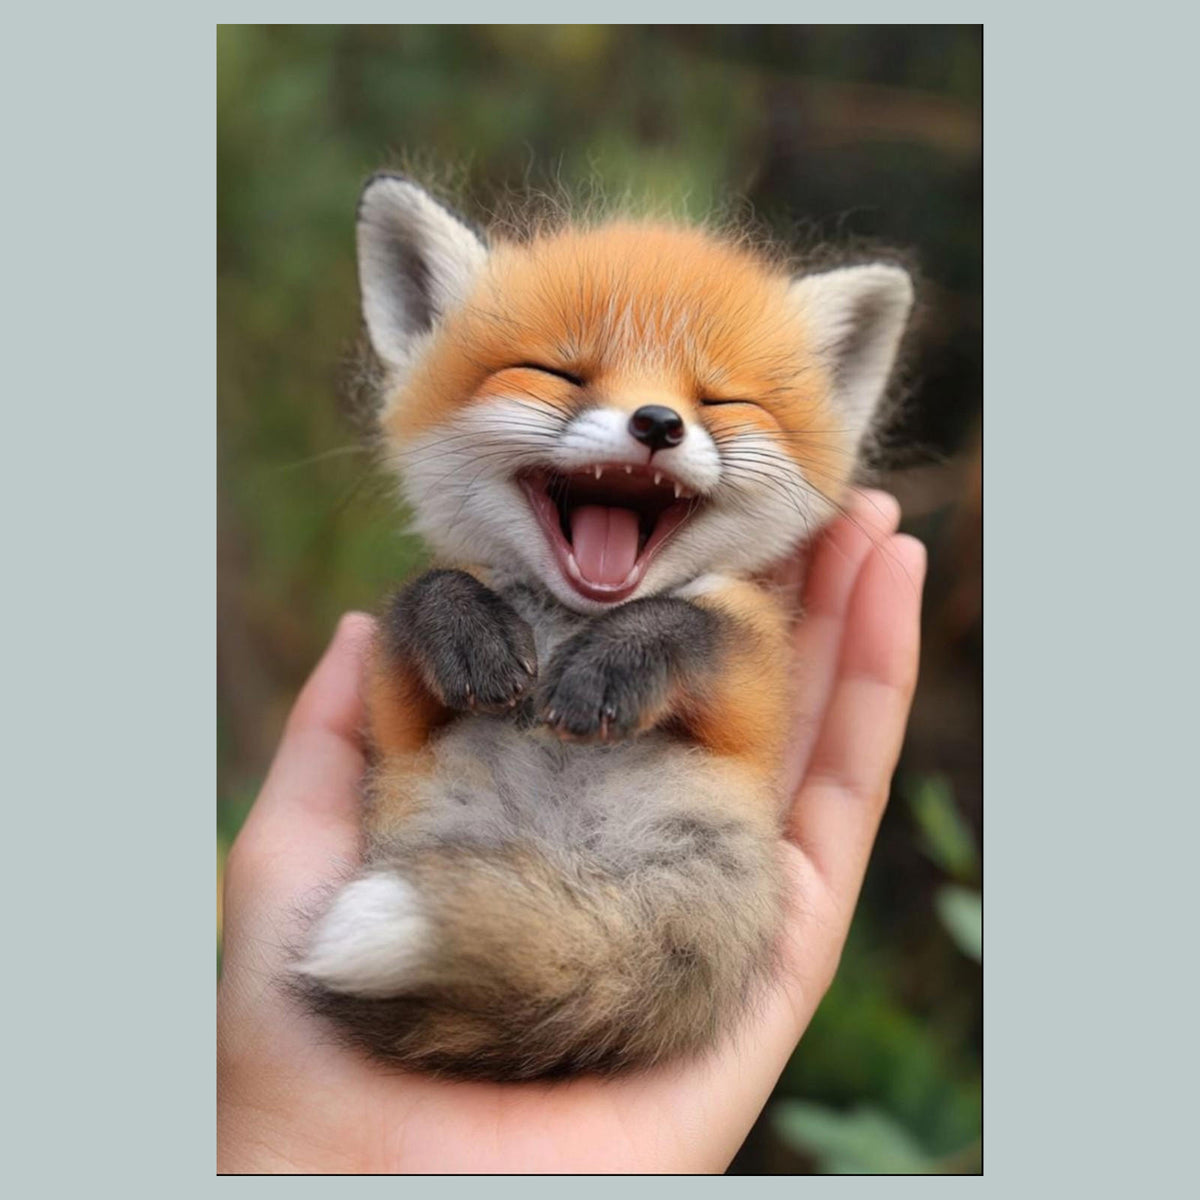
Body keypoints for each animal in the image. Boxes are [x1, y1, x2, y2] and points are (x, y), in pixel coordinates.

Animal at [295, 174, 915, 1079]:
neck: (570, 622)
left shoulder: (757, 681)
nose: (657, 423)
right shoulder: (400, 718)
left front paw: (608, 670)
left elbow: (686, 624)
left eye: (720, 399)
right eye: (559, 373)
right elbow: (425, 595)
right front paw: (471, 636)